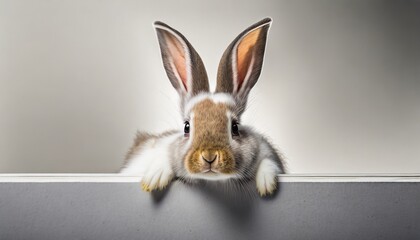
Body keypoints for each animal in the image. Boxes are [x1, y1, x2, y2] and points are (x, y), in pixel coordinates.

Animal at [120, 17, 288, 197]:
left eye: (235, 127)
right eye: (187, 127)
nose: (209, 156)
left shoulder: (267, 151)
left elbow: (269, 163)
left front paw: (266, 185)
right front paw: (154, 179)